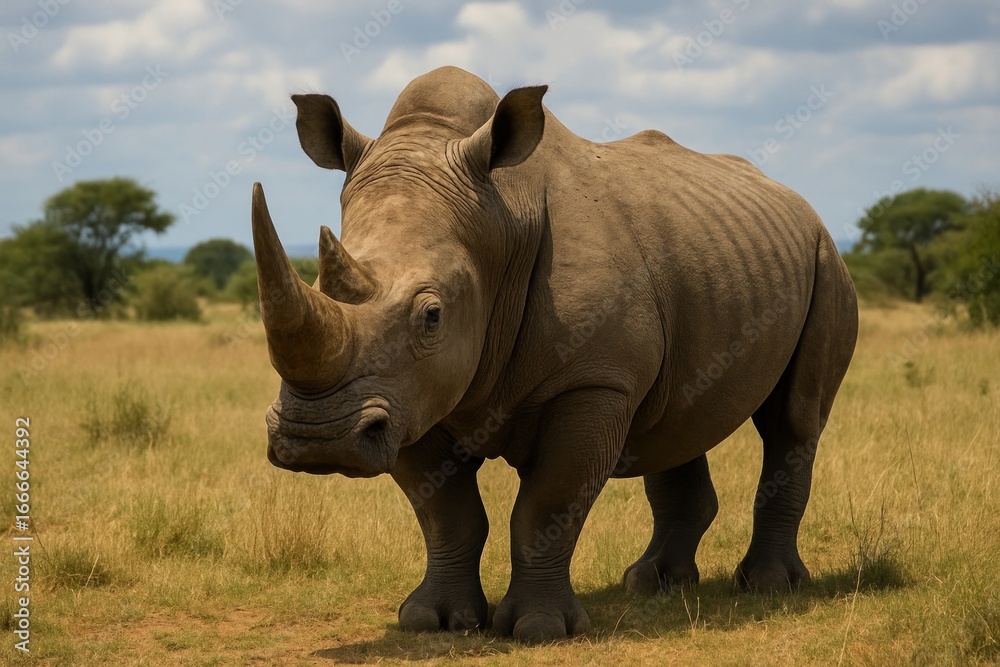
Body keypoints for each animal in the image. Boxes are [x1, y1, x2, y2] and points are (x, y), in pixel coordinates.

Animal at [252, 66, 858, 642]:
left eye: (432, 315)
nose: (318, 439)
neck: (500, 218)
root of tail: (797, 200)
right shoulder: (408, 397)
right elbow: (446, 514)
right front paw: (433, 621)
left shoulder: (591, 381)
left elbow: (547, 506)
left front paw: (538, 630)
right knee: (679, 417)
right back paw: (653, 585)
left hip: (825, 257)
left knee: (793, 420)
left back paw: (769, 587)